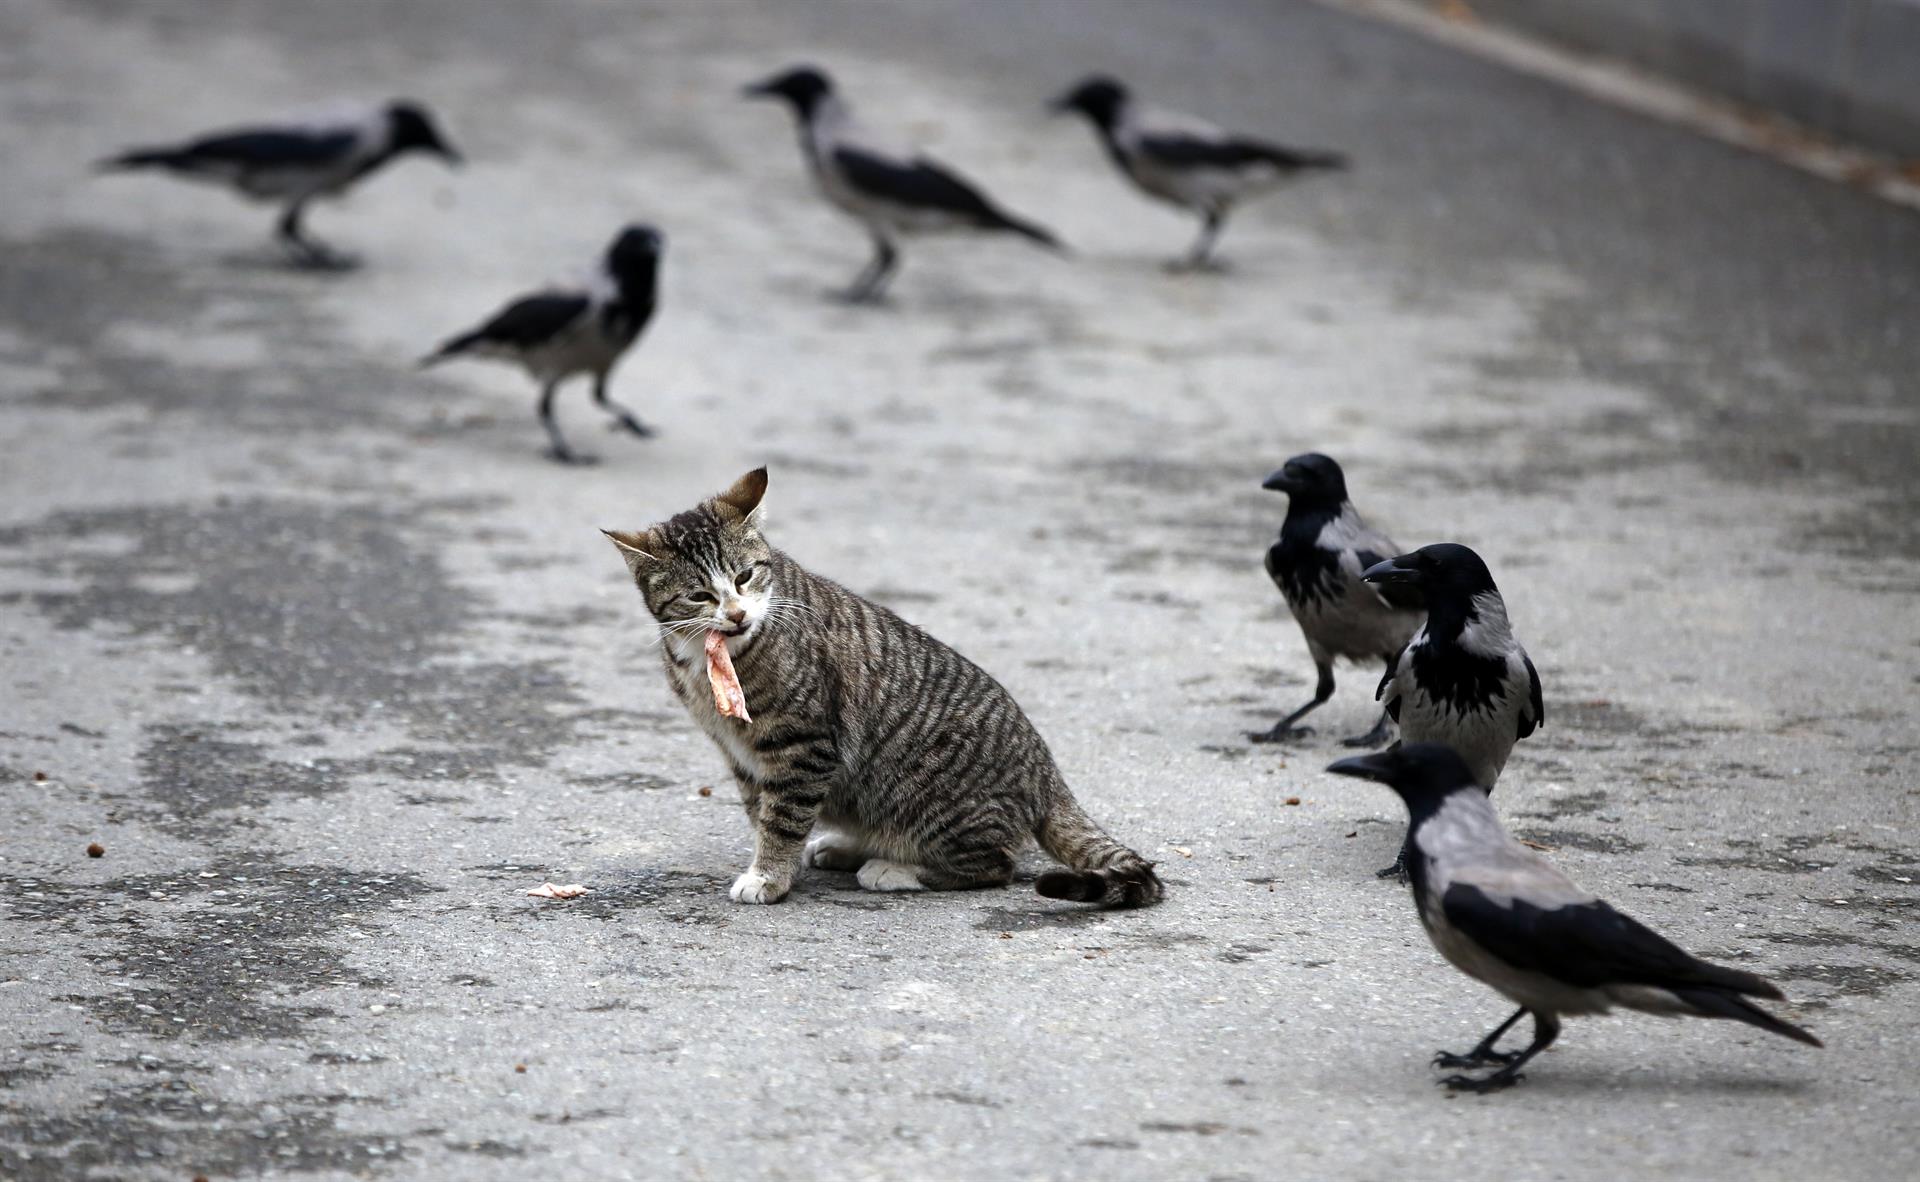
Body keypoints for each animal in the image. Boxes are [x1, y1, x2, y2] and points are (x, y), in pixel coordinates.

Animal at [606, 466, 1159, 909]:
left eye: (744, 577)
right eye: (700, 595)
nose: (738, 615)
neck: (710, 657)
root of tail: (1045, 770)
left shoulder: (803, 744)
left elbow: (783, 817)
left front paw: (768, 876)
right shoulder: (740, 754)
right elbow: (763, 811)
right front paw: (775, 862)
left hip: (926, 795)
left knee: (996, 865)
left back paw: (895, 868)